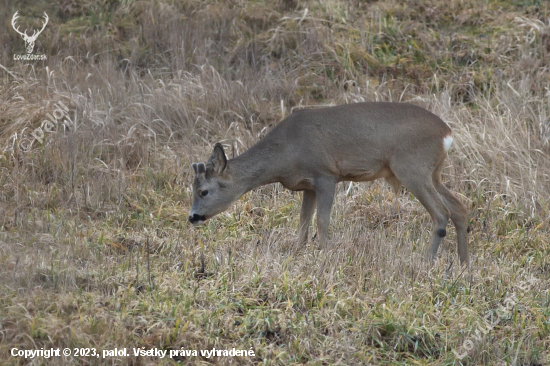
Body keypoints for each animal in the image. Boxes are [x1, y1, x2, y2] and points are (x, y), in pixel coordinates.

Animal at [190, 101, 470, 264]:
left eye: (203, 191)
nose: (192, 217)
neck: (285, 153)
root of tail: (447, 134)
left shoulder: (326, 175)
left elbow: (322, 221)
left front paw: (323, 254)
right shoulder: (307, 185)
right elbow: (303, 222)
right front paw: (298, 251)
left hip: (412, 168)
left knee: (441, 213)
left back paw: (427, 261)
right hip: (433, 172)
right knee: (459, 208)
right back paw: (463, 264)